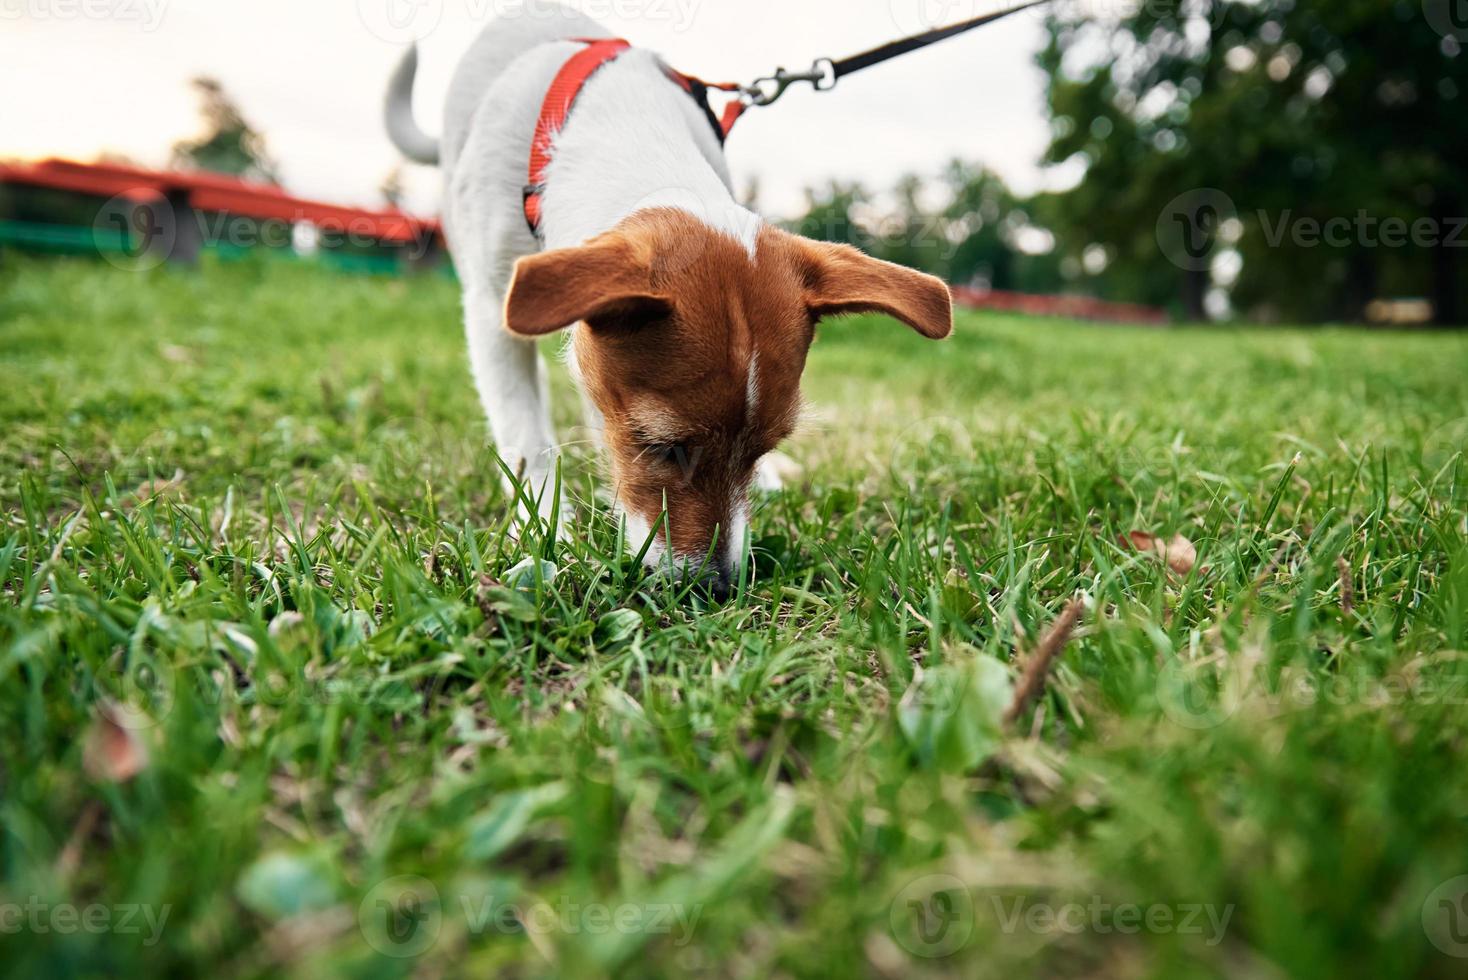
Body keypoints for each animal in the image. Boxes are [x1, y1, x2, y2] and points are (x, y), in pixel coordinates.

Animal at [381, 3, 951, 598]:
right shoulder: (493, 310)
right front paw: (542, 530)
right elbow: (524, 434)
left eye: (763, 447)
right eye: (663, 446)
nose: (717, 588)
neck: (629, 133)